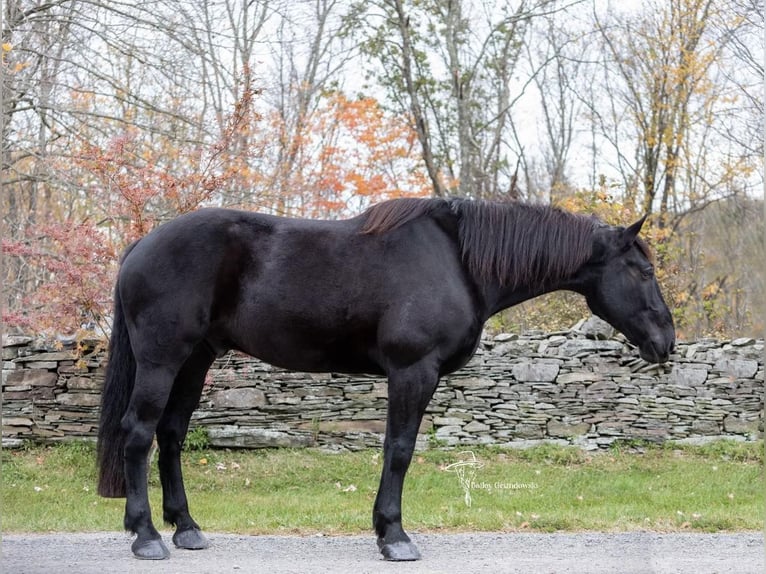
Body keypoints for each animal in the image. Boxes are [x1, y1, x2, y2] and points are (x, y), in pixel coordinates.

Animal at [97, 198, 680, 564]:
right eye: (644, 271)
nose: (667, 341)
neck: (458, 261)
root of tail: (141, 246)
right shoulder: (412, 372)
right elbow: (398, 450)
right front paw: (394, 535)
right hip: (163, 359)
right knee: (139, 434)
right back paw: (146, 536)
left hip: (195, 360)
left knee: (171, 434)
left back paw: (186, 528)